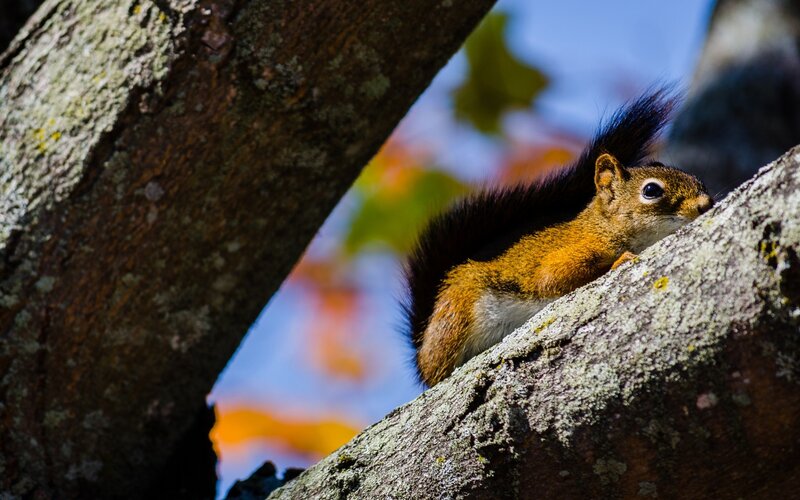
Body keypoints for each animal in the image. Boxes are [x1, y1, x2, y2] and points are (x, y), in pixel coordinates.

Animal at [403, 90, 714, 387]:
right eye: (651, 190)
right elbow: (553, 279)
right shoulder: (574, 252)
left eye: (699, 181)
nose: (705, 204)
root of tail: (422, 347)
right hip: (458, 315)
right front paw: (619, 261)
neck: (604, 227)